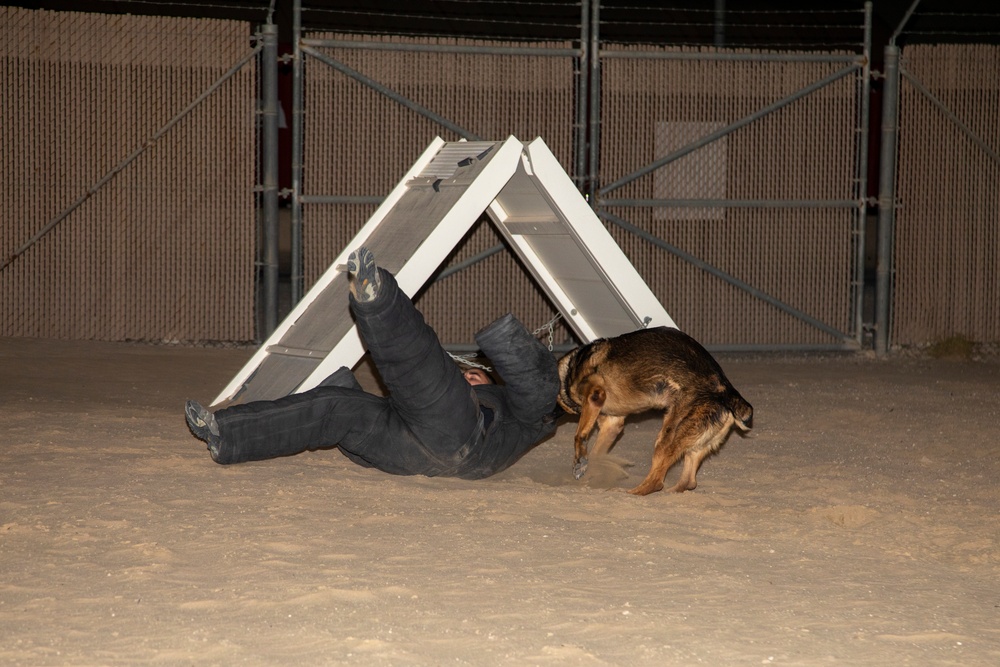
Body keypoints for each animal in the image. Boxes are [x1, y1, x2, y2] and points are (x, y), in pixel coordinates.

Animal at [556, 328, 752, 496]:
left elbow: (579, 435)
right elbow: (597, 454)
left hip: (667, 438)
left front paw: (580, 463)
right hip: (695, 445)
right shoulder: (612, 424)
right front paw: (592, 472)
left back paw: (628, 493)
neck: (568, 370)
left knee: (656, 482)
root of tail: (727, 394)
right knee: (688, 482)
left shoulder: (595, 395)